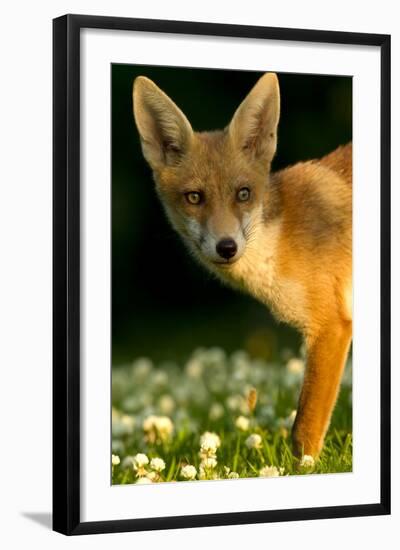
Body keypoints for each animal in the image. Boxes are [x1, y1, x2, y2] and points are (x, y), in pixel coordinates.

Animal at [133, 73, 352, 462]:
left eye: (243, 194)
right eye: (194, 197)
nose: (227, 247)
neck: (280, 241)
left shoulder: (332, 326)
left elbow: (304, 428)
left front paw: (303, 468)